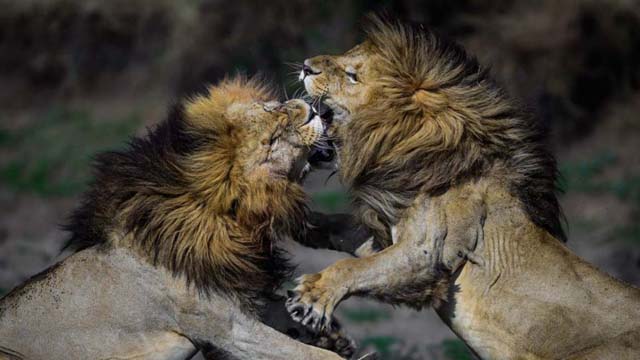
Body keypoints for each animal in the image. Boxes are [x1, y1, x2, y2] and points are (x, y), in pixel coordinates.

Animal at [0, 78, 370, 360]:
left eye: (269, 108)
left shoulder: (241, 300)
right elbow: (314, 356)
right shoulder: (229, 329)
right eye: (271, 141)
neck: (238, 226)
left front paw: (331, 334)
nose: (312, 110)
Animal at [288, 17, 640, 360]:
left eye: (352, 75)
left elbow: (354, 267)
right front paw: (299, 221)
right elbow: (341, 230)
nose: (305, 66)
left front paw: (313, 295)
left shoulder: (428, 252)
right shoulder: (388, 236)